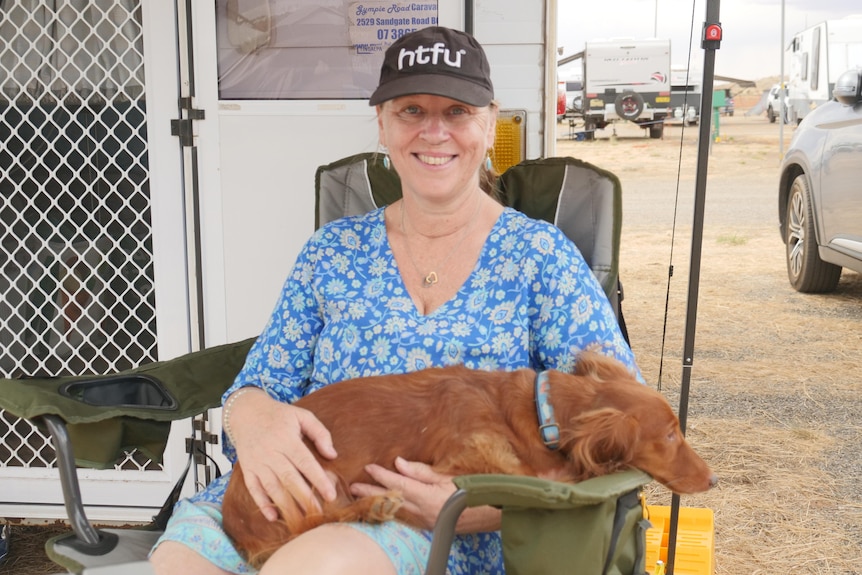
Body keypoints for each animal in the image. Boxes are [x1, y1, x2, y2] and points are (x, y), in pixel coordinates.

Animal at [221, 354, 716, 568]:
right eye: (669, 435)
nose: (712, 480)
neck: (541, 412)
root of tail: (236, 521)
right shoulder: (470, 457)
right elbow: (530, 474)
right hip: (311, 472)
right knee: (317, 518)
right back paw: (372, 506)